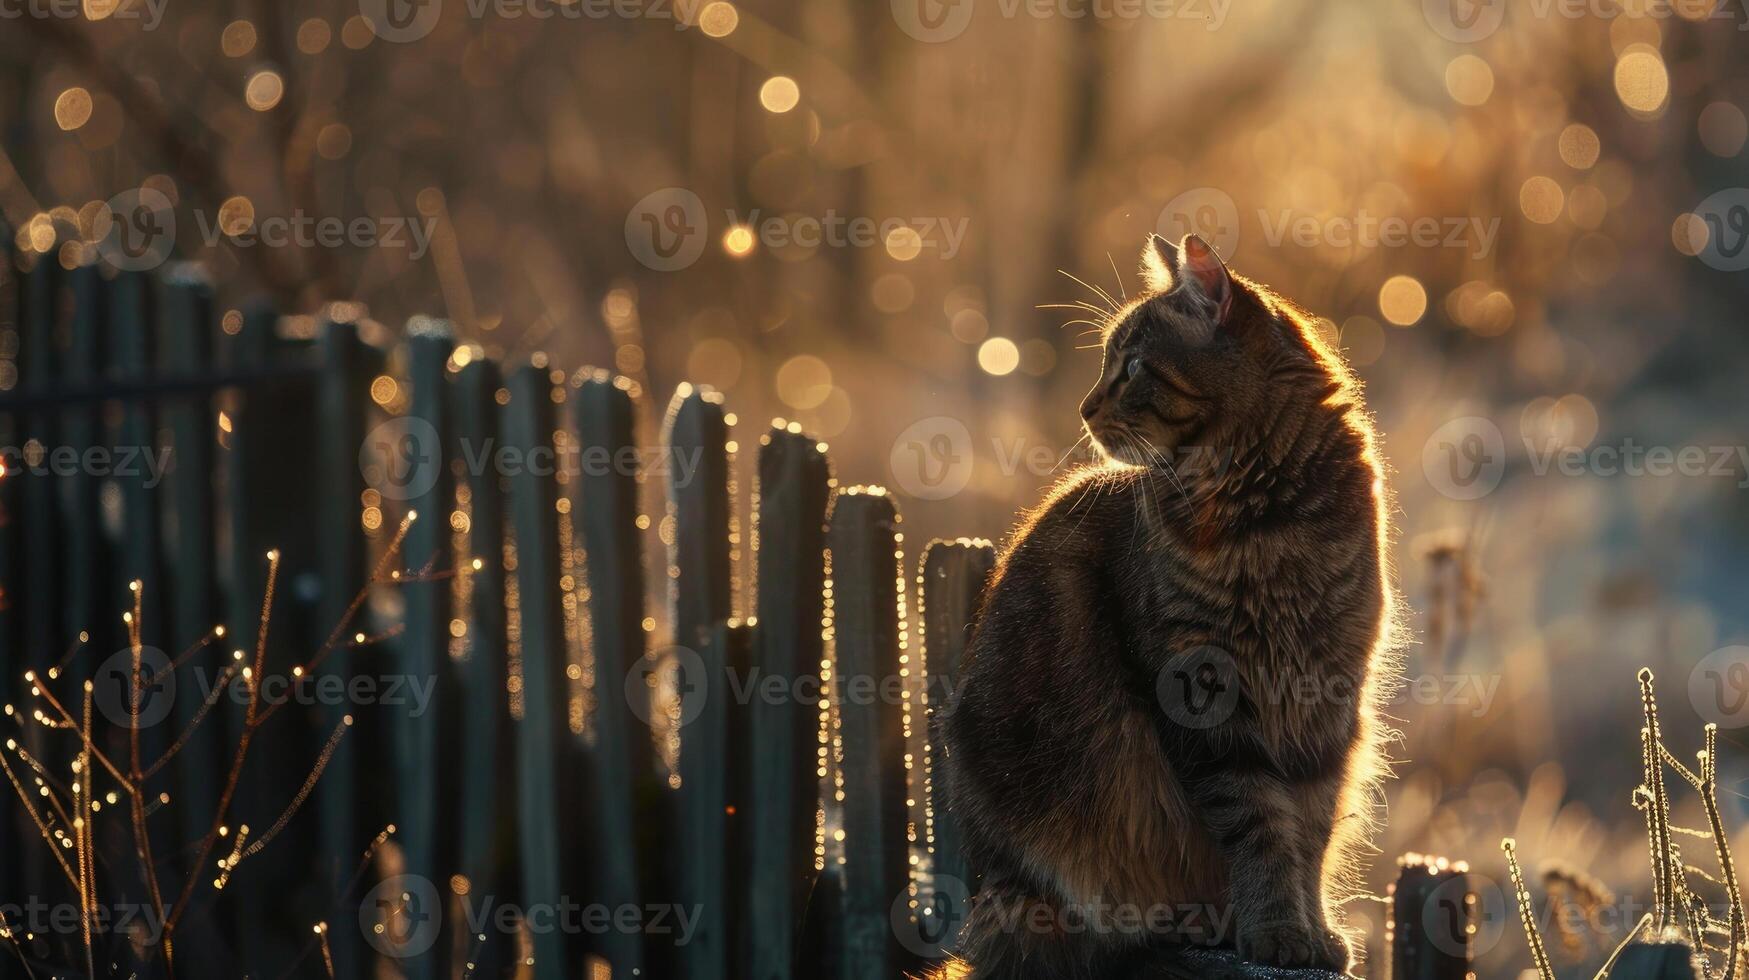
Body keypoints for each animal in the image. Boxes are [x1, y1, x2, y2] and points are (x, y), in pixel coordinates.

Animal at [937, 232, 1399, 973]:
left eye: (1131, 367)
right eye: (1107, 364)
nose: (1084, 407)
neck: (1268, 524)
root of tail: (989, 899)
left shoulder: (1326, 700)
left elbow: (1312, 832)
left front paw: (1315, 932)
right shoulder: (1206, 701)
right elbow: (1262, 831)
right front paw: (1276, 931)